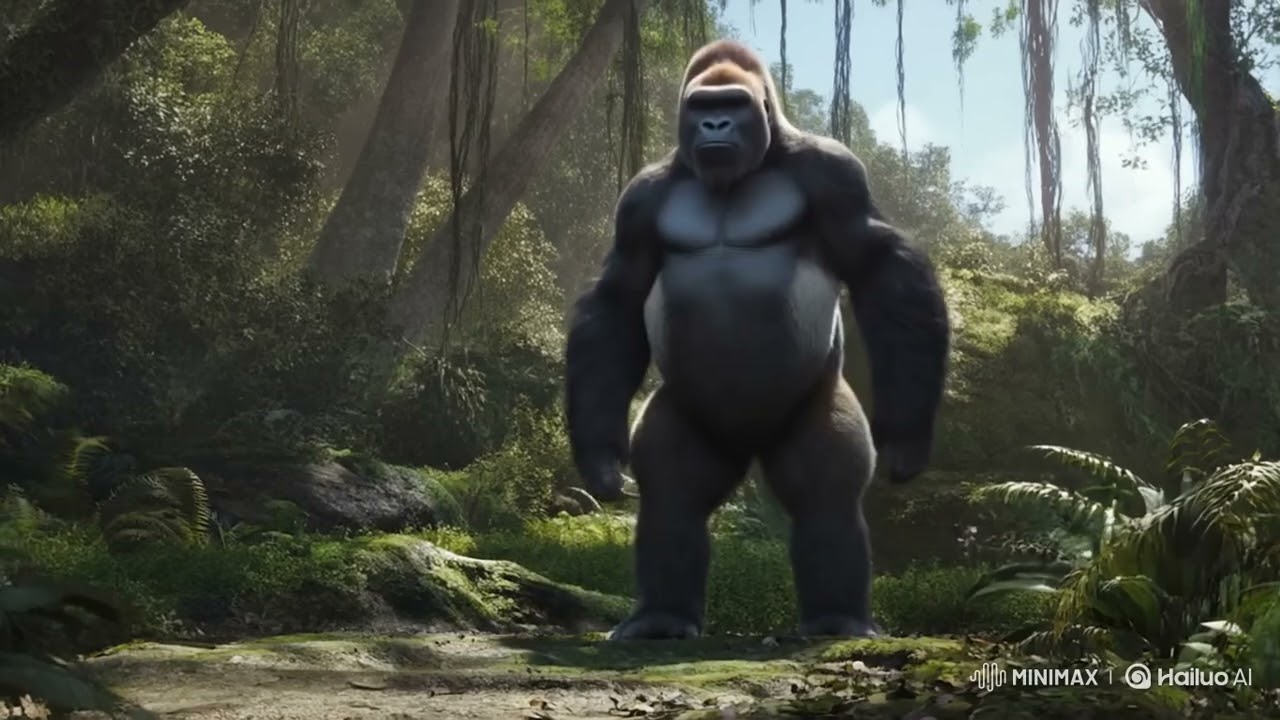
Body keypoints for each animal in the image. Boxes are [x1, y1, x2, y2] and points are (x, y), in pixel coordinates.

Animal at [564, 39, 950, 641]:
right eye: (703, 106)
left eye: (733, 104)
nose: (715, 124)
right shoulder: (640, 197)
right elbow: (618, 298)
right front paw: (598, 454)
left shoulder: (834, 170)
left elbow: (880, 265)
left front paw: (908, 434)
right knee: (673, 496)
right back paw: (661, 618)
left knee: (826, 496)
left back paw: (836, 619)